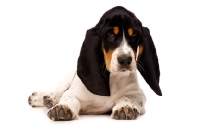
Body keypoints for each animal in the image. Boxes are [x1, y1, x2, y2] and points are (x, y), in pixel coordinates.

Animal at [28, 6, 162, 120]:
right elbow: (68, 99)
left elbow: (128, 98)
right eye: (110, 35)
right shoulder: (73, 93)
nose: (125, 60)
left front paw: (125, 107)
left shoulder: (137, 93)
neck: (112, 79)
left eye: (134, 35)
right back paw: (45, 98)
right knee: (58, 91)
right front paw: (63, 108)